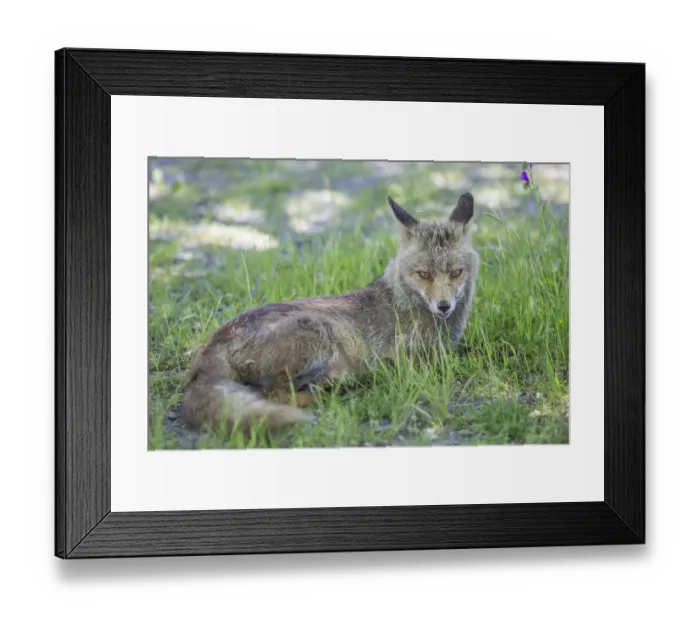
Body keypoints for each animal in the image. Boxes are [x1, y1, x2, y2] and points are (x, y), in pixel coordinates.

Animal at [180, 192, 480, 435]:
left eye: (456, 273)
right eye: (423, 274)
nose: (444, 306)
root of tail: (216, 337)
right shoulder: (412, 361)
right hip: (318, 334)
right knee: (272, 394)